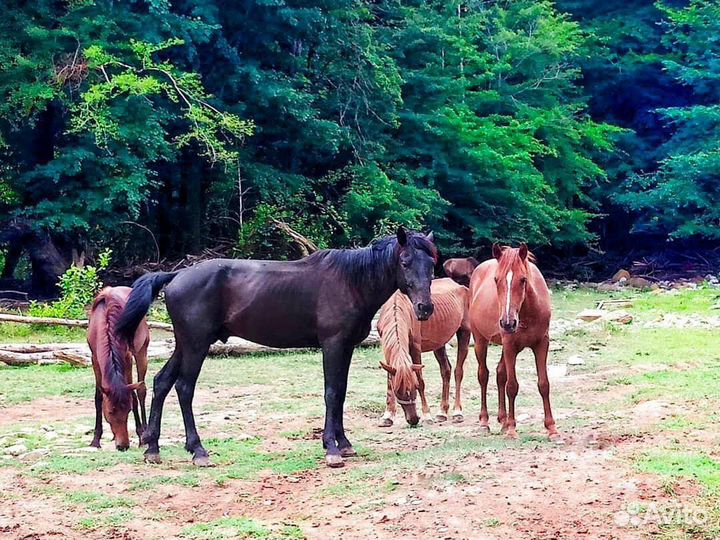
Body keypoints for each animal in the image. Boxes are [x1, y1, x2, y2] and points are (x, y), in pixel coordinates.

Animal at [87, 286, 149, 452]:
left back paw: (145, 433)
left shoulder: (127, 358)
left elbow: (133, 396)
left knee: (141, 391)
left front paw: (140, 435)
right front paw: (96, 440)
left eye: (127, 411)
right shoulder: (94, 359)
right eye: (110, 411)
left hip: (142, 351)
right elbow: (98, 397)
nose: (123, 446)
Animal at [116, 228, 438, 468]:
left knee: (162, 382)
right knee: (184, 388)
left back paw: (152, 448)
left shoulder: (345, 347)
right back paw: (198, 450)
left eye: (431, 264)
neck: (351, 282)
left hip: (185, 344)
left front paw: (344, 443)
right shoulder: (332, 345)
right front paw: (332, 448)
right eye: (405, 262)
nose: (425, 308)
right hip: (196, 345)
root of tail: (175, 276)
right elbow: (332, 393)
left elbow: (342, 392)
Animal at [376, 278, 472, 426]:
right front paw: (387, 416)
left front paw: (427, 415)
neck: (398, 306)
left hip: (464, 332)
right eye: (398, 392)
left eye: (414, 388)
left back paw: (457, 412)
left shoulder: (415, 347)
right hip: (439, 342)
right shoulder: (387, 349)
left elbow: (421, 380)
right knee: (446, 370)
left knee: (458, 371)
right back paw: (442, 413)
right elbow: (389, 382)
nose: (413, 419)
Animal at [466, 246, 564, 442]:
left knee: (499, 374)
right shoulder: (510, 346)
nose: (507, 322)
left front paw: (552, 429)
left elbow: (544, 384)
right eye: (496, 279)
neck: (528, 312)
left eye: (523, 279)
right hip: (480, 341)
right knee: (483, 376)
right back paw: (485, 422)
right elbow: (512, 386)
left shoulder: (542, 344)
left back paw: (502, 420)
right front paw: (512, 429)